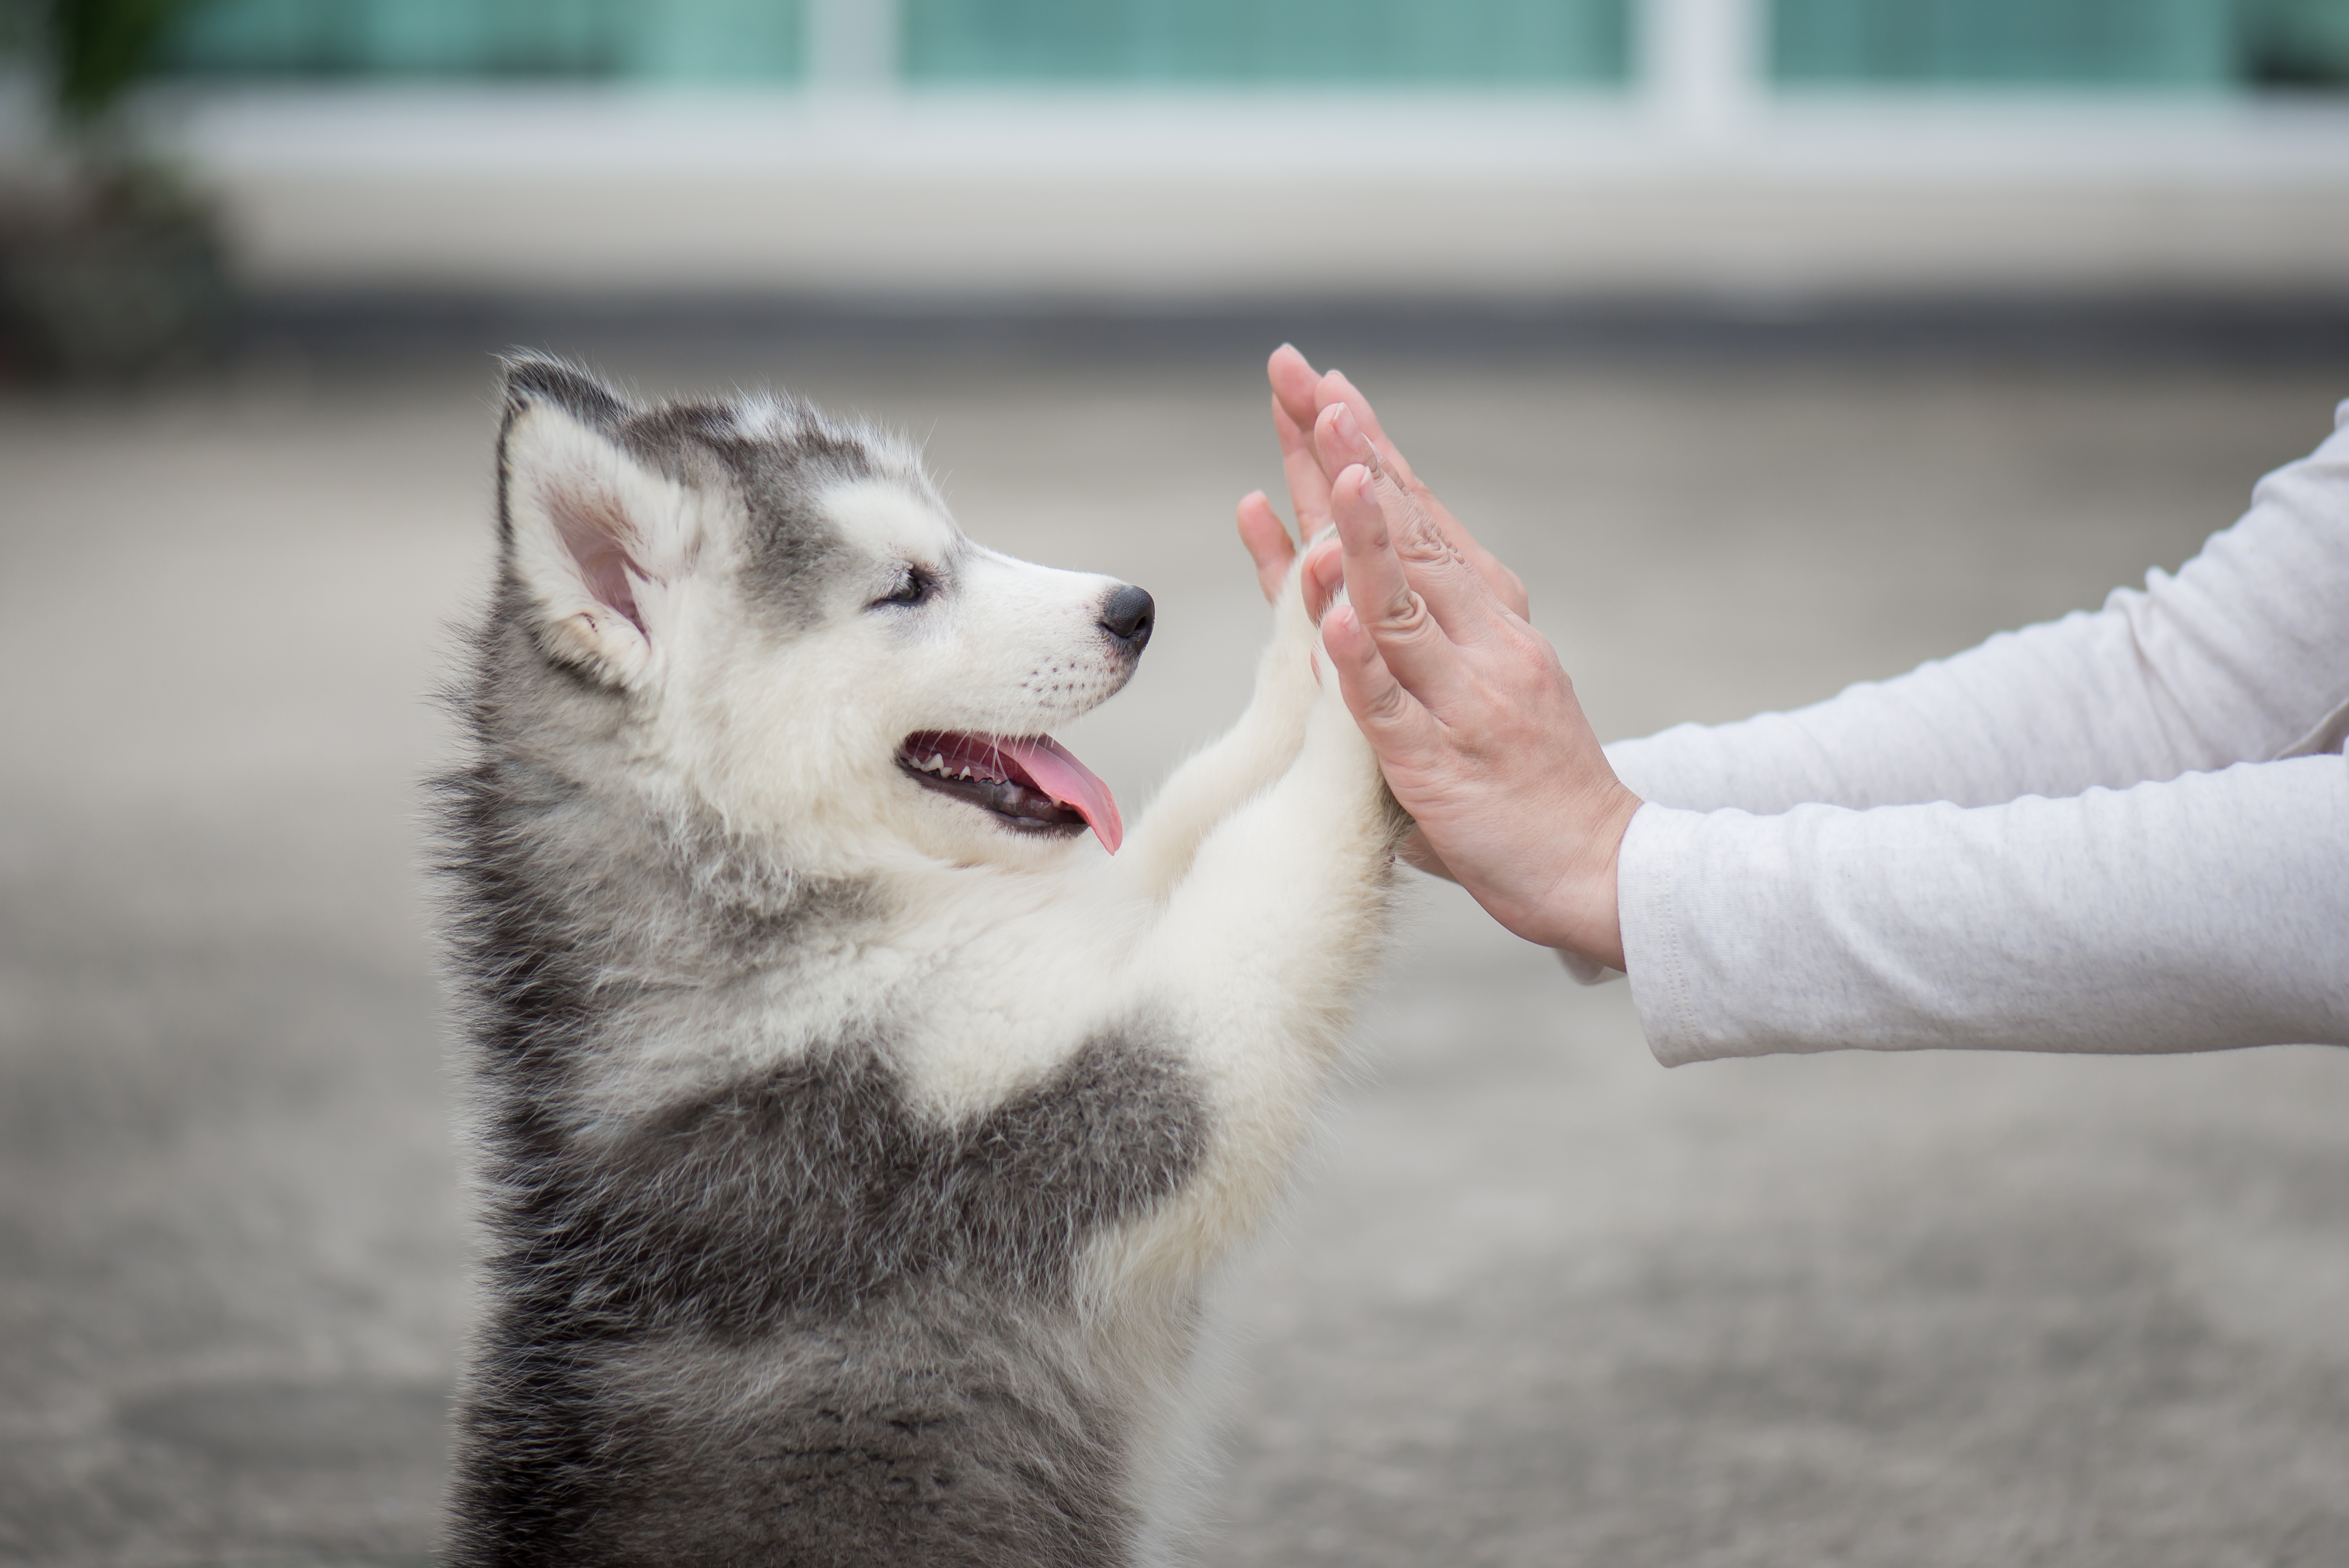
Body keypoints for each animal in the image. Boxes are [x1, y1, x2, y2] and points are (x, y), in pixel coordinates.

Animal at [434, 359, 1400, 1568]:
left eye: (957, 539)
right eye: (906, 587)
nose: (1132, 610)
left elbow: (1193, 811)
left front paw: (1316, 606)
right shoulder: (1033, 1120)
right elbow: (1266, 873)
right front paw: (1370, 671)